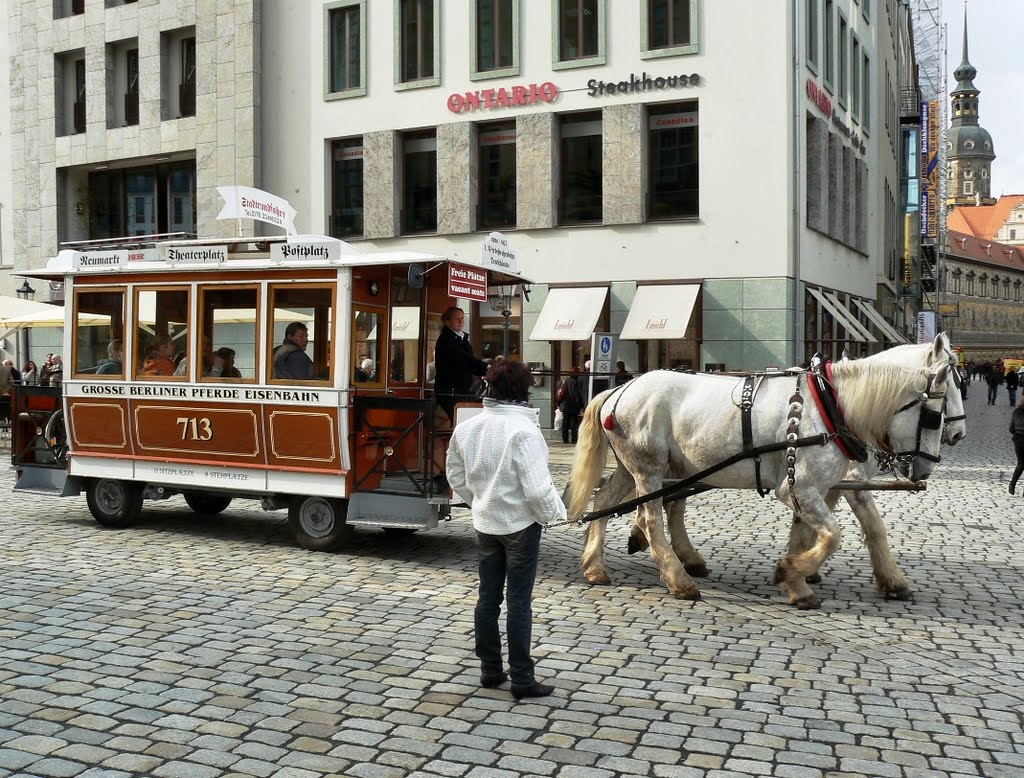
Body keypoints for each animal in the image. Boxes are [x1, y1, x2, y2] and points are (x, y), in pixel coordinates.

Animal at [569, 348, 950, 606]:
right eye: (934, 417)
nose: (926, 468)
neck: (829, 406)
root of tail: (620, 390)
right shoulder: (800, 487)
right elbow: (833, 536)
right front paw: (791, 573)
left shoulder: (812, 489)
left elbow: (809, 534)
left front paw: (797, 582)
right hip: (648, 467)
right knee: (650, 517)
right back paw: (678, 580)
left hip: (630, 467)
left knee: (605, 500)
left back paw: (595, 566)